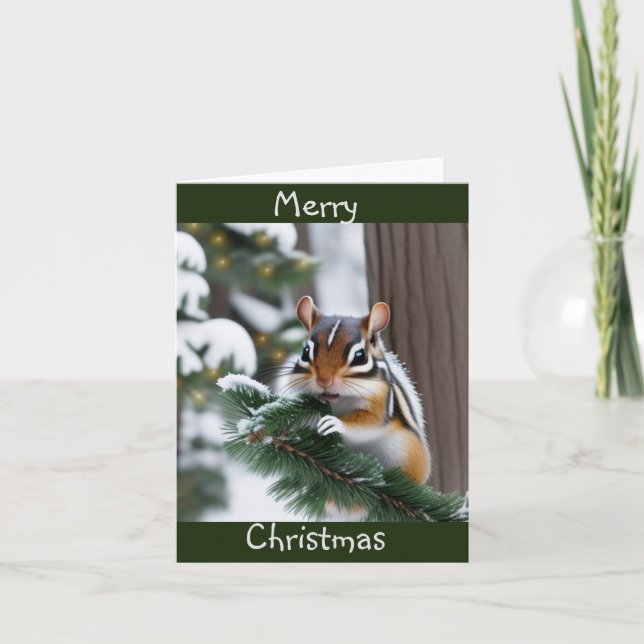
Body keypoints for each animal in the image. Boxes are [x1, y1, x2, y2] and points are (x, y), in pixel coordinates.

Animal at [285, 295, 431, 486]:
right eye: (305, 351)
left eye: (359, 356)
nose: (324, 380)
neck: (339, 400)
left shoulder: (380, 398)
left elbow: (369, 421)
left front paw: (334, 423)